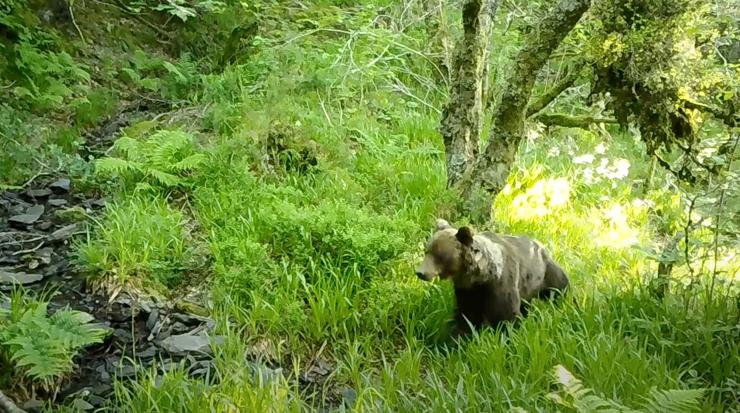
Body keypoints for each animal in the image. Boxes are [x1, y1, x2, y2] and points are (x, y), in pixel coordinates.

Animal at [414, 219, 568, 334]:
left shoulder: (501, 283)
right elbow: (467, 315)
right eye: (427, 251)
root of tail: (541, 244)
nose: (420, 272)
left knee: (560, 288)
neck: (481, 277)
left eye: (438, 255)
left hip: (546, 271)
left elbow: (506, 315)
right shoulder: (468, 291)